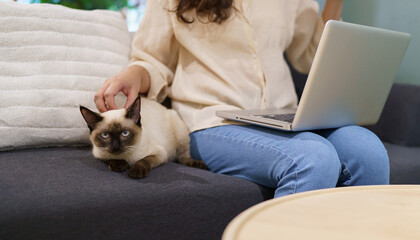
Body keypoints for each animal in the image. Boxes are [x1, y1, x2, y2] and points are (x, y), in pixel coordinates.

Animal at [79, 96, 207, 179]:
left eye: (125, 133)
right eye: (105, 135)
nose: (116, 147)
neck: (127, 158)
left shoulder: (160, 153)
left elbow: (144, 160)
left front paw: (136, 172)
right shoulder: (99, 153)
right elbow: (110, 159)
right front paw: (119, 165)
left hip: (180, 135)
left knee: (183, 157)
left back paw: (199, 164)